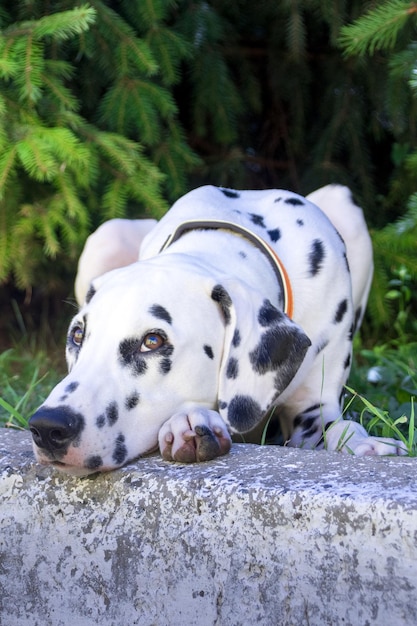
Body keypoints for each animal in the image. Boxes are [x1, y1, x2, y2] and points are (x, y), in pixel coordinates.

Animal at [27, 184, 404, 472]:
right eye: (78, 335)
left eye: (153, 340)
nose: (47, 427)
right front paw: (190, 423)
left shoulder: (313, 408)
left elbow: (338, 425)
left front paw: (365, 443)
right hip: (107, 235)